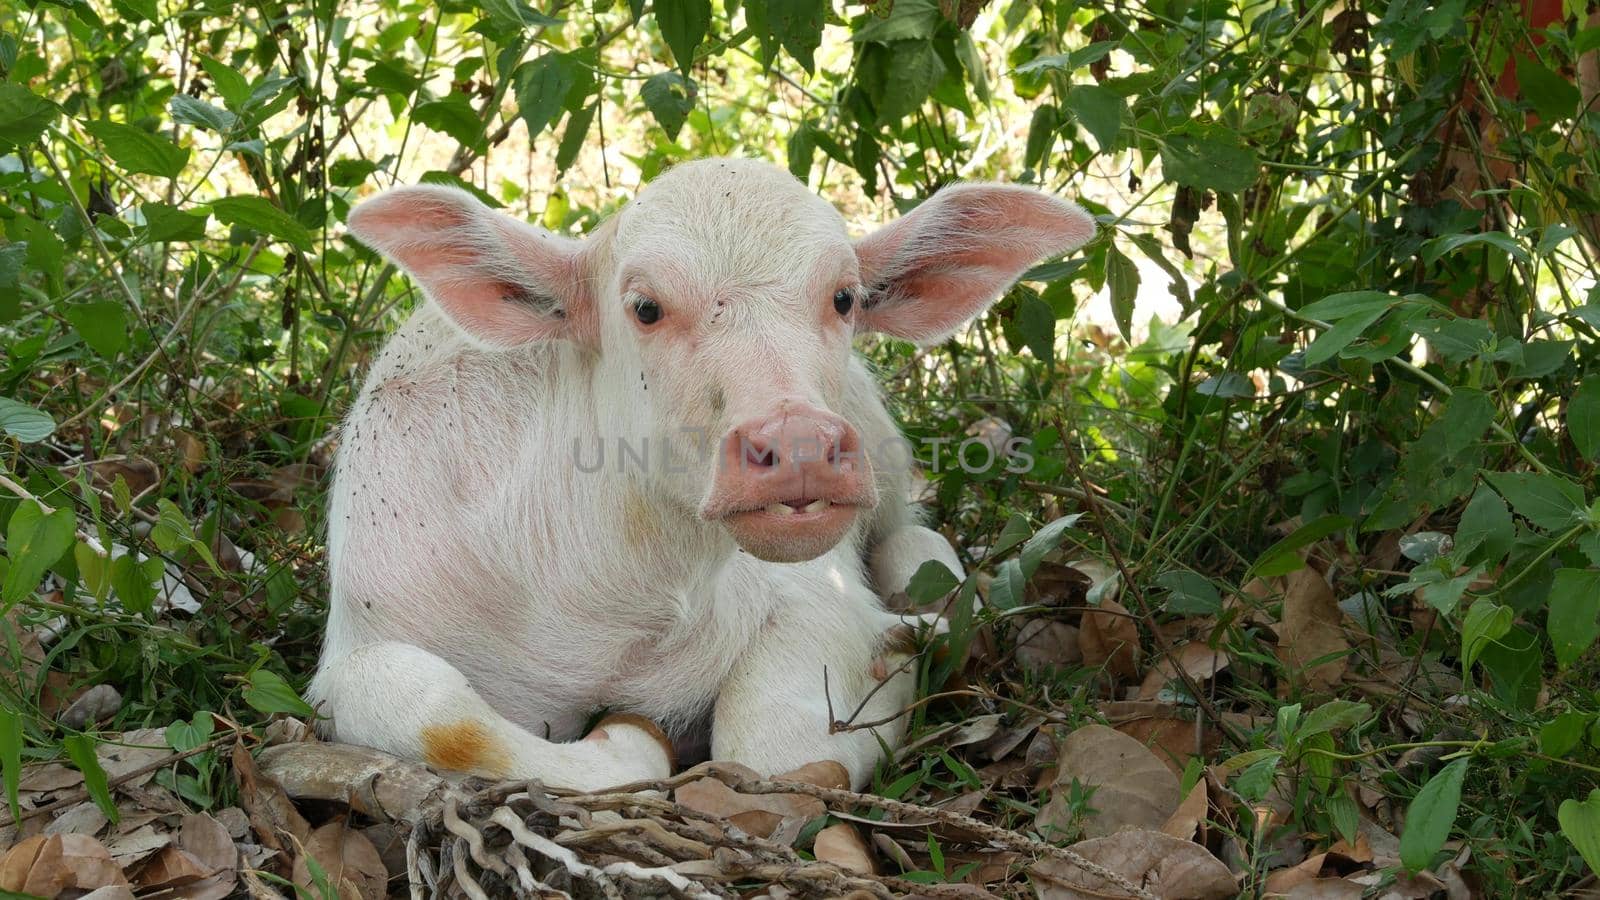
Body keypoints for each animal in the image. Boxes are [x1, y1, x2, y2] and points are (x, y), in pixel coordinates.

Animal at [305, 157, 1094, 787]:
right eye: (646, 307)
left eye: (844, 298)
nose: (799, 444)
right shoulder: (359, 643)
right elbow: (439, 716)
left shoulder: (815, 596)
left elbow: (772, 751)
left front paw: (897, 660)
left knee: (913, 536)